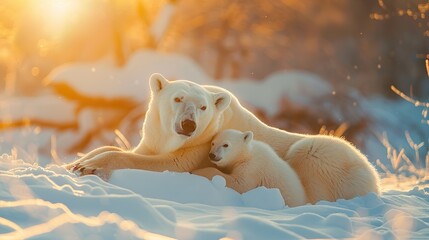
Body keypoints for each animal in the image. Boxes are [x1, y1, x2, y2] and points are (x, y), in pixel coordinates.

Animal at [68, 73, 380, 204]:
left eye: (203, 107)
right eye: (178, 98)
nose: (189, 124)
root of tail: (374, 180)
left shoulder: (200, 145)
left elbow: (166, 164)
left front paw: (91, 166)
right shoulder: (156, 137)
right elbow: (135, 149)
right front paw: (75, 163)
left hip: (321, 153)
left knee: (309, 151)